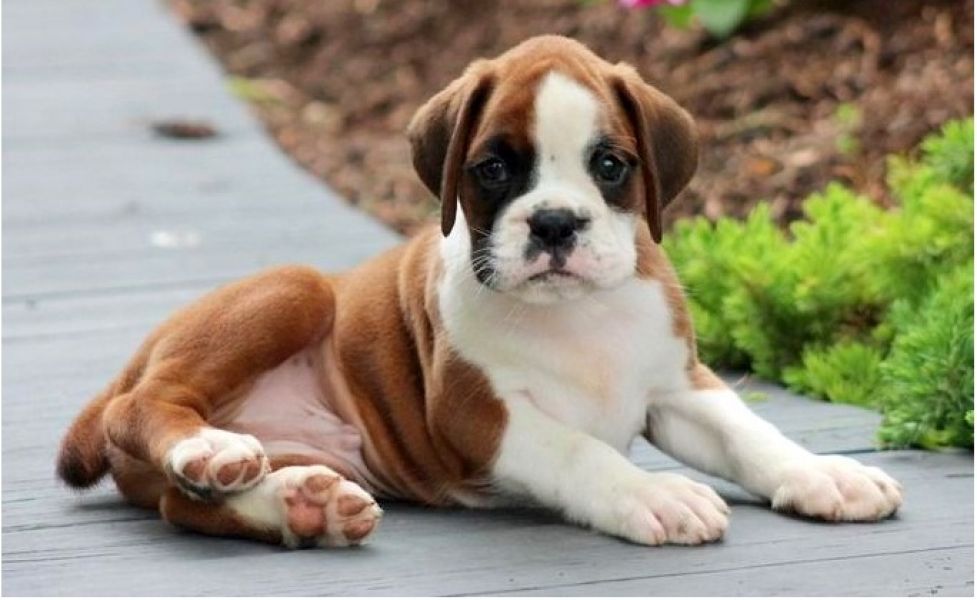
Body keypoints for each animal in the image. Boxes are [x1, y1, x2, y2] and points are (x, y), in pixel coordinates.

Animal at [57, 35, 902, 548]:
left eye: (609, 165)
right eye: (493, 168)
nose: (555, 223)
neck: (579, 315)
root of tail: (131, 364)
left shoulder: (679, 389)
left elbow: (749, 434)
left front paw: (824, 473)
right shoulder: (479, 415)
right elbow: (580, 451)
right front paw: (653, 494)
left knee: (184, 504)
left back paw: (301, 503)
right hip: (289, 295)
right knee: (149, 411)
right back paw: (210, 447)